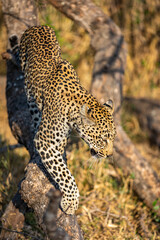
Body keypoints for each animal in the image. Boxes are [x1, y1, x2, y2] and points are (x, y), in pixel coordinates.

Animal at [19, 25, 115, 215]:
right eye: (103, 140)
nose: (110, 155)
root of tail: (35, 26)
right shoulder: (46, 141)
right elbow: (64, 173)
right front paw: (71, 201)